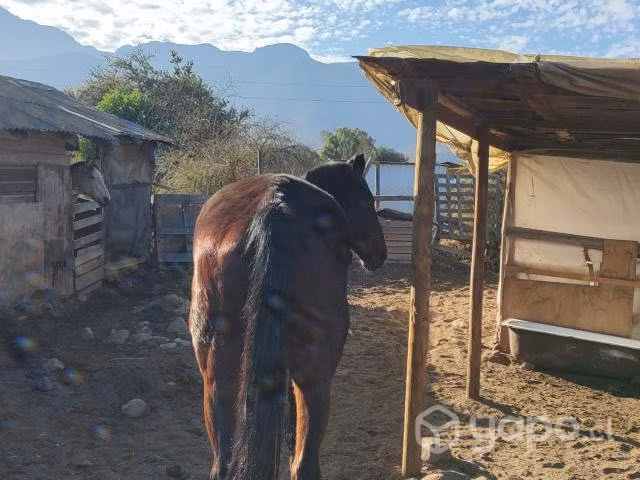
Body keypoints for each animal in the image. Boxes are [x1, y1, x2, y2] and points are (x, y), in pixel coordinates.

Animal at [189, 153, 387, 480]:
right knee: (304, 463)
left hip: (217, 371)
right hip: (315, 374)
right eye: (368, 199)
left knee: (222, 460)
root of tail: (276, 206)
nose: (379, 253)